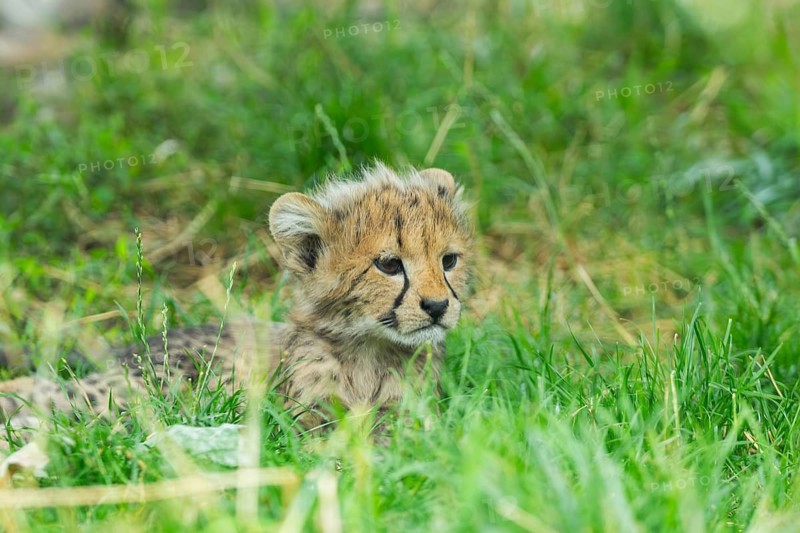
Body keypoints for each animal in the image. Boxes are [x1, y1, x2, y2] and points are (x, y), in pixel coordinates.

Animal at [0, 163, 474, 433]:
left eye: (448, 261)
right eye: (389, 265)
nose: (437, 307)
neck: (370, 351)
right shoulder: (302, 427)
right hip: (152, 386)